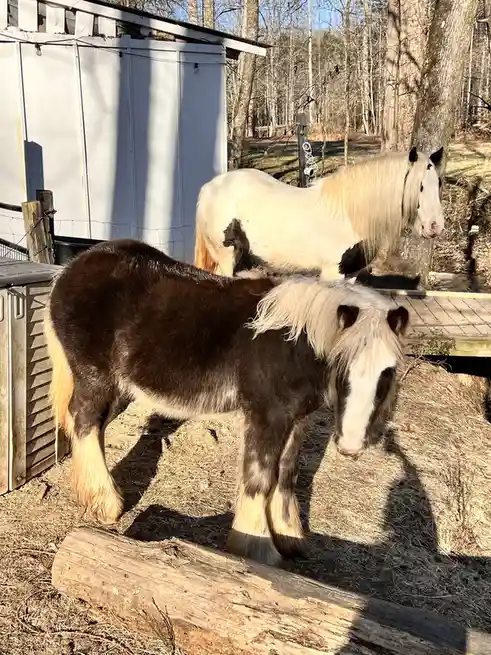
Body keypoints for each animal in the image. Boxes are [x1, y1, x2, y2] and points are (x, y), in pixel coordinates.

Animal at [44, 238, 409, 567]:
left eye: (388, 371)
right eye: (341, 365)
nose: (351, 446)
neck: (293, 341)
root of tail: (69, 270)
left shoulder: (296, 419)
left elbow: (286, 473)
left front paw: (289, 537)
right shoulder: (267, 416)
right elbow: (260, 477)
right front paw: (257, 549)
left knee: (92, 426)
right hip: (95, 378)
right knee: (85, 420)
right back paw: (105, 504)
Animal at [194, 146, 445, 280]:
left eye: (439, 183)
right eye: (419, 186)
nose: (435, 227)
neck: (349, 214)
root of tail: (209, 186)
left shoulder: (349, 275)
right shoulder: (331, 274)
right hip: (224, 257)